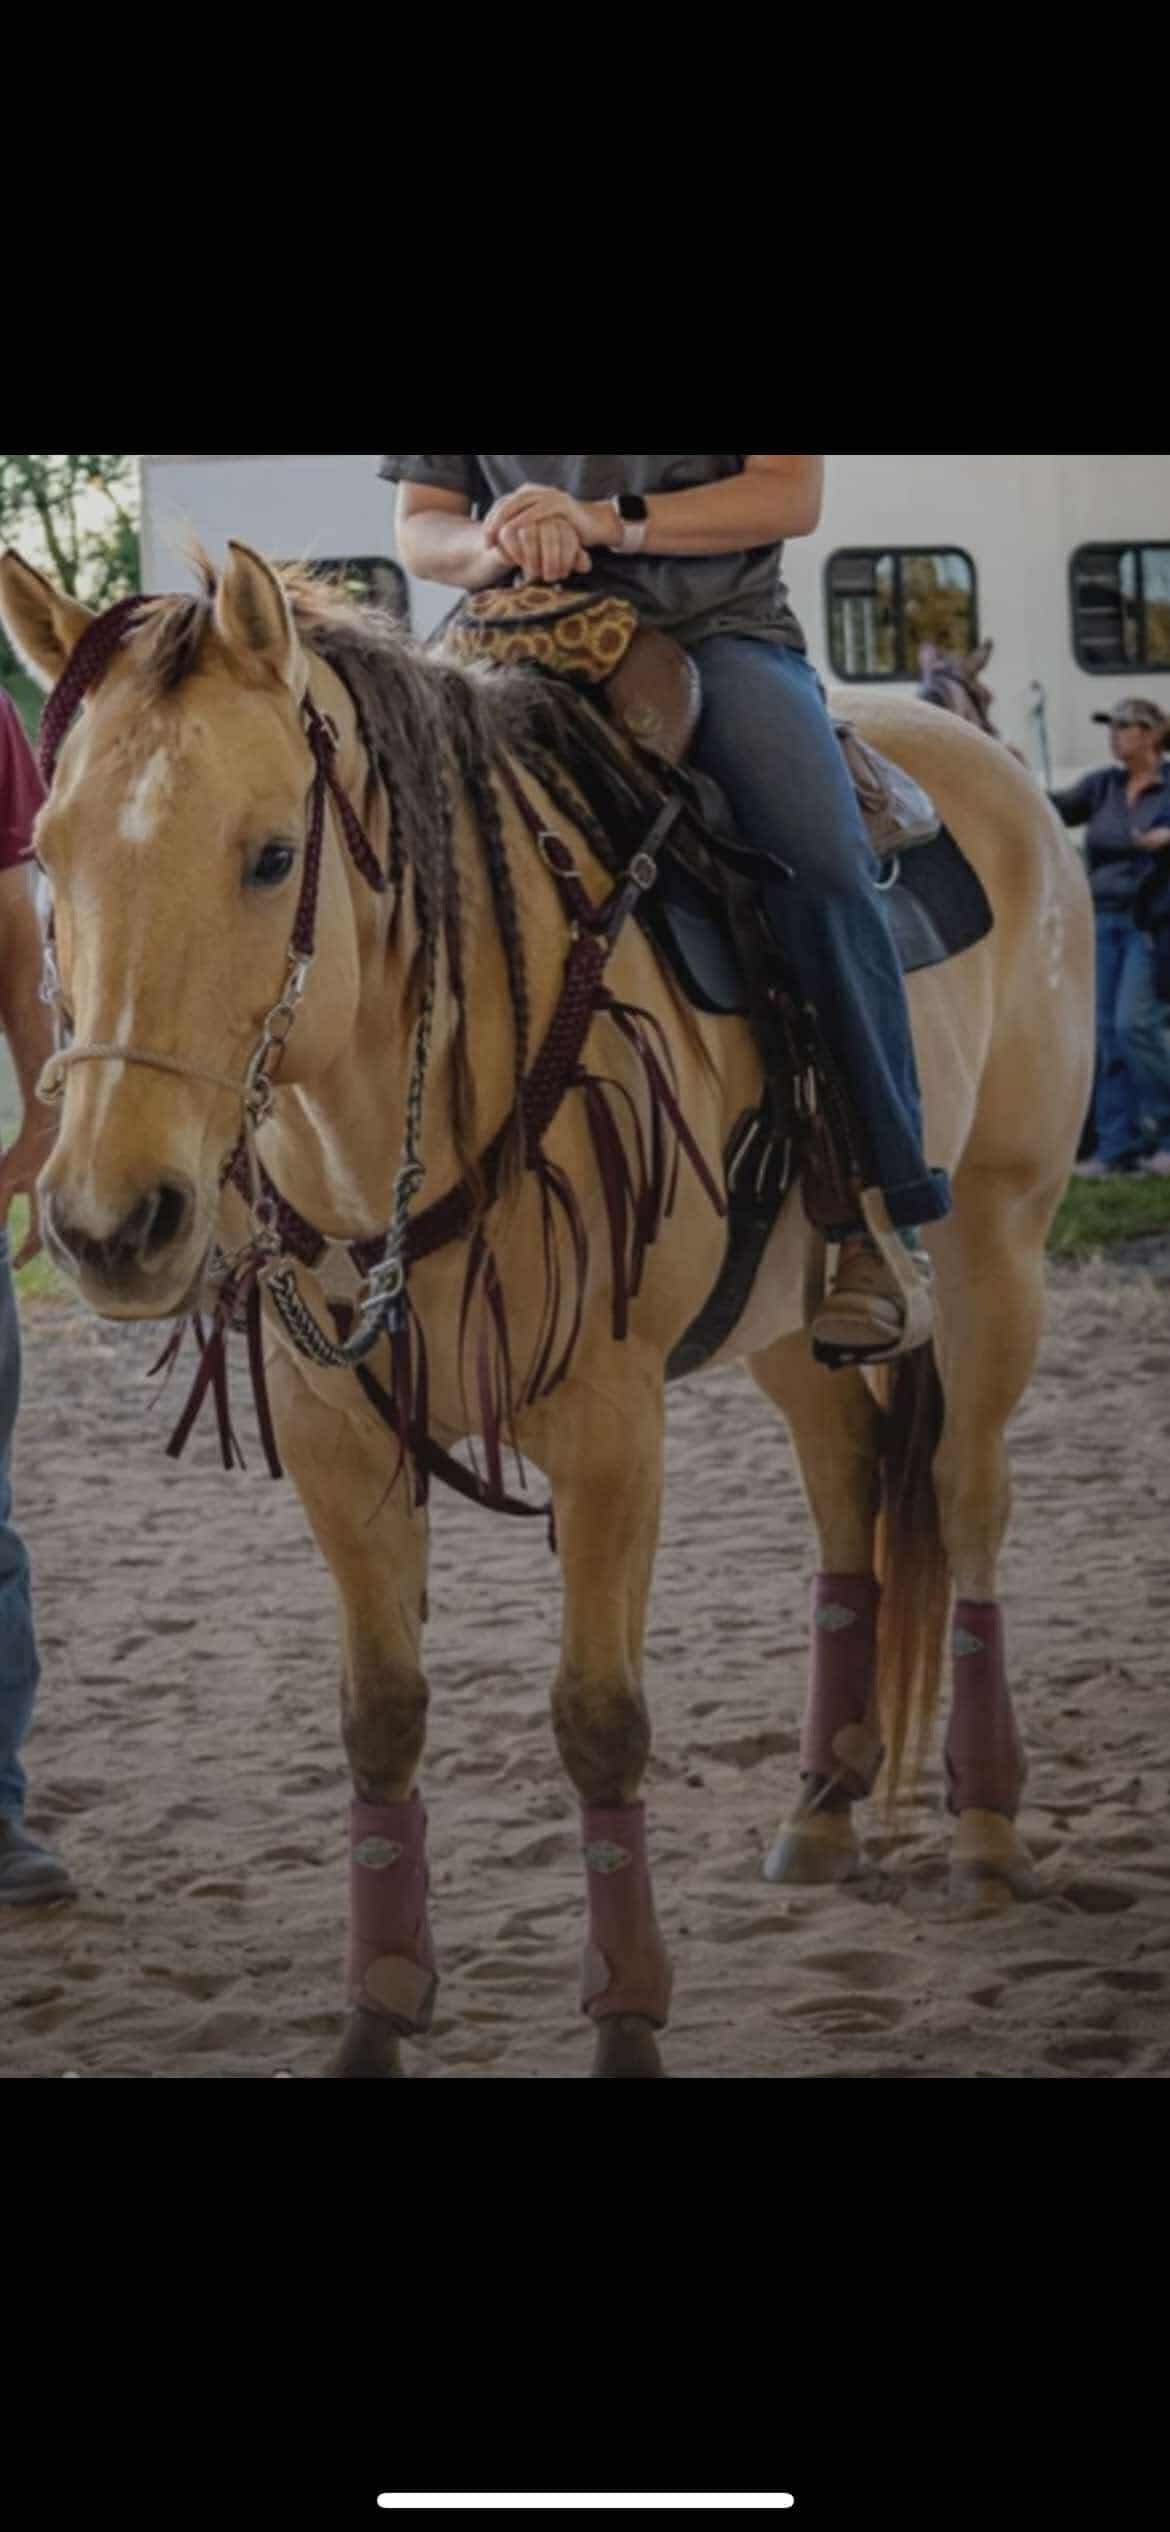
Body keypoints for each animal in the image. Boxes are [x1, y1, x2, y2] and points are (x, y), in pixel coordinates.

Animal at [0, 549, 1099, 2076]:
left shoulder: (604, 1427)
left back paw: (987, 1829)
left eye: (273, 855)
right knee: (847, 1490)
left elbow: (597, 1723)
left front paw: (627, 2016)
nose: (111, 1225)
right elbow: (380, 1721)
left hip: (999, 1237)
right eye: (49, 856)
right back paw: (820, 1808)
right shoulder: (341, 1434)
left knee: (966, 1495)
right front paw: (375, 2010)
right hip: (789, 1319)